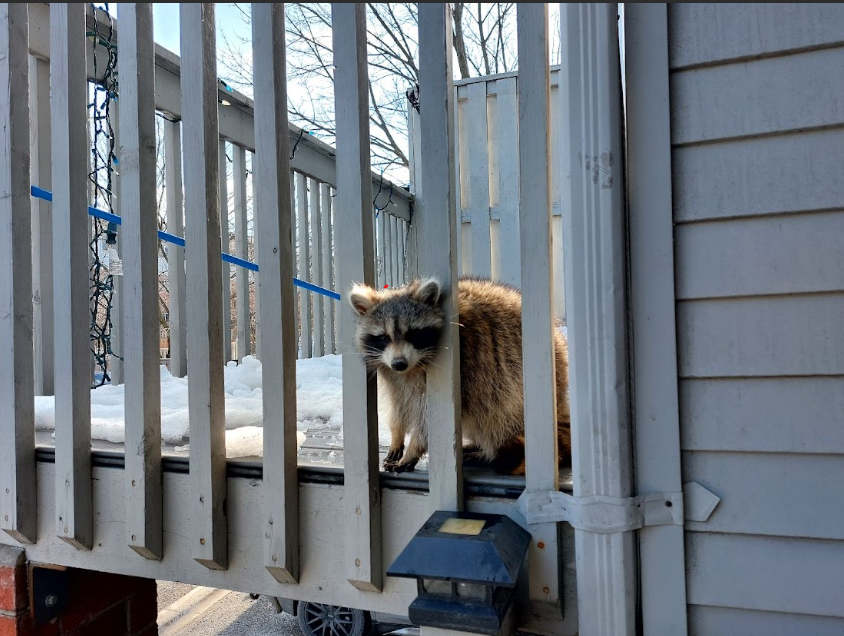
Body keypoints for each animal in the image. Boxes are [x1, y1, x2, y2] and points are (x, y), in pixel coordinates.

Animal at [346, 276, 572, 474]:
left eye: (413, 334)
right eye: (383, 337)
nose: (399, 363)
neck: (412, 368)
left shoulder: (461, 367)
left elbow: (427, 417)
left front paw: (414, 449)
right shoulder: (393, 374)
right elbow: (399, 403)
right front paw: (397, 432)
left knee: (497, 415)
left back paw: (487, 451)